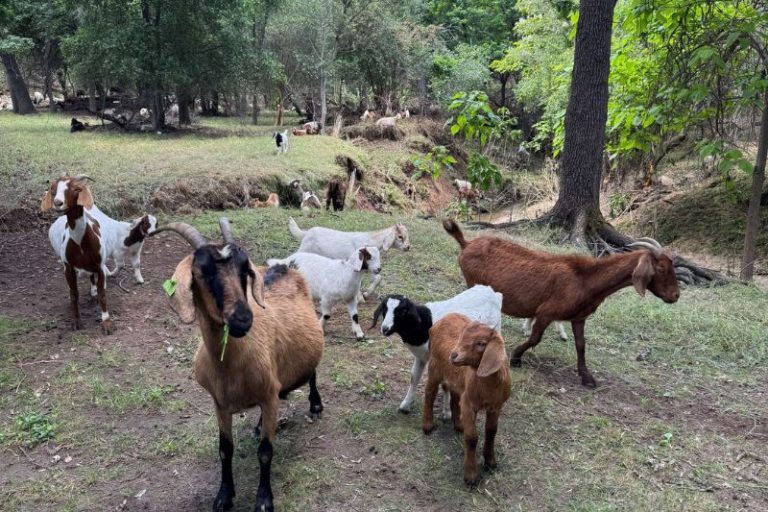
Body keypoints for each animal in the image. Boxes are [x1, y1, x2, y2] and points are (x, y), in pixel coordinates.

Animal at [41, 176, 113, 334]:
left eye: (76, 189)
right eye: (53, 190)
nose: (58, 203)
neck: (81, 245)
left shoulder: (100, 266)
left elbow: (103, 294)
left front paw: (106, 323)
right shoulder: (68, 268)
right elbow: (74, 294)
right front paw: (76, 322)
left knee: (93, 278)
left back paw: (93, 292)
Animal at [155, 219, 324, 512]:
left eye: (245, 269)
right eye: (201, 272)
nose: (243, 318)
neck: (231, 368)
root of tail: (285, 267)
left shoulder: (268, 396)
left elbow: (265, 452)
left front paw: (264, 500)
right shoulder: (220, 404)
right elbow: (225, 450)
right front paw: (224, 496)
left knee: (312, 372)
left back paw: (315, 405)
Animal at [370, 285, 502, 414]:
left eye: (402, 311)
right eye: (384, 309)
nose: (385, 329)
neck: (426, 323)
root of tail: (493, 292)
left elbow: (445, 383)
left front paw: (447, 412)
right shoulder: (421, 357)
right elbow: (414, 377)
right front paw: (405, 405)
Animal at [423, 313, 511, 486]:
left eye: (481, 343)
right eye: (462, 337)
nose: (453, 355)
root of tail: (445, 317)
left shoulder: (496, 406)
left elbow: (491, 431)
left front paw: (490, 462)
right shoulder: (469, 404)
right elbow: (471, 438)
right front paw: (470, 476)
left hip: (456, 378)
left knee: (454, 397)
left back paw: (458, 424)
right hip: (435, 365)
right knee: (429, 393)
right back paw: (427, 425)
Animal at [443, 220, 680, 387]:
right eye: (661, 269)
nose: (675, 296)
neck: (585, 279)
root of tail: (466, 243)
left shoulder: (579, 318)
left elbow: (581, 345)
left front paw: (587, 377)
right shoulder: (546, 312)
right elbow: (535, 338)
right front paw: (516, 357)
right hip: (474, 284)